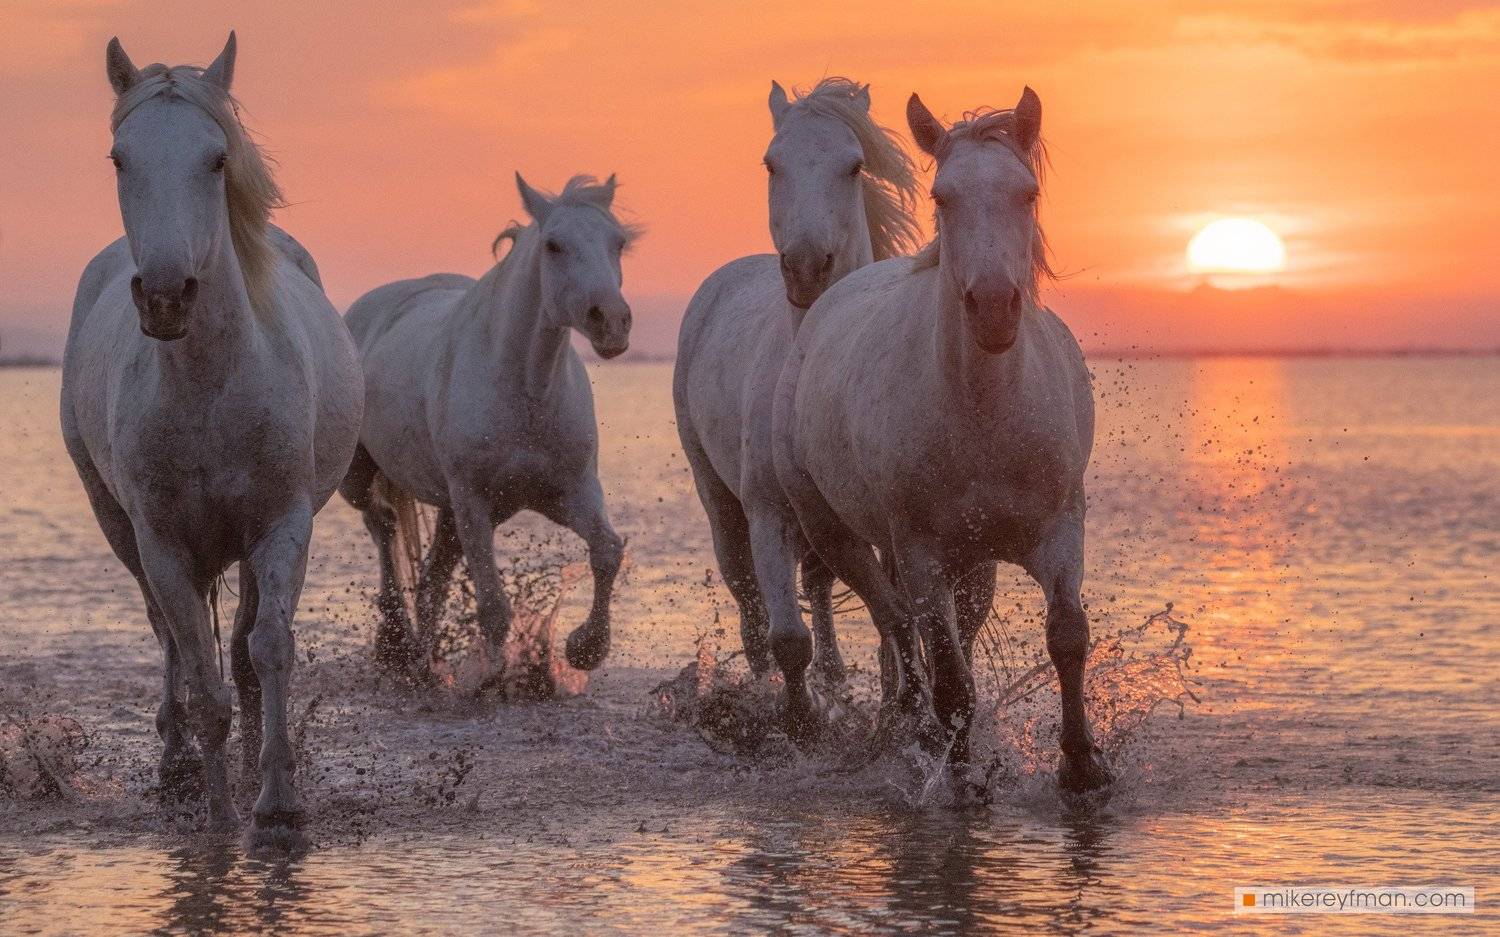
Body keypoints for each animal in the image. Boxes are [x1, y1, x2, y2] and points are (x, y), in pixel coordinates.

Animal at [61, 34, 364, 847]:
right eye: (118, 158)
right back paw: (177, 766)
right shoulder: (161, 542)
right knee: (168, 637)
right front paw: (222, 817)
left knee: (247, 646)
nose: (167, 296)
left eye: (217, 158)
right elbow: (198, 678)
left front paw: (279, 803)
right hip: (120, 527)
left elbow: (270, 648)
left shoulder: (283, 523)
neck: (210, 386)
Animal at [339, 174, 635, 685]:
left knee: (431, 576)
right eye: (554, 245)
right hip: (362, 479)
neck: (524, 392)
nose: (612, 322)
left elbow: (607, 550)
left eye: (617, 243)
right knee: (383, 522)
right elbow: (494, 607)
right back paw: (397, 642)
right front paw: (490, 679)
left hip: (450, 512)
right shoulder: (473, 500)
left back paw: (423, 663)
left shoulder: (566, 493)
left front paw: (586, 648)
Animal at [673, 78, 921, 737]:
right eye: (770, 163)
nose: (808, 267)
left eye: (854, 165)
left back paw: (834, 680)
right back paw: (764, 687)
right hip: (719, 498)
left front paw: (890, 705)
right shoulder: (767, 514)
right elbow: (788, 637)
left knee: (818, 584)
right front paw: (800, 723)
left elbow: (892, 619)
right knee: (748, 597)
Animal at [772, 88, 1113, 792]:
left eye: (1027, 193)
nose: (993, 308)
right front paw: (957, 779)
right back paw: (912, 725)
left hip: (973, 561)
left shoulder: (1060, 530)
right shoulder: (922, 553)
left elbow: (1067, 636)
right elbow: (950, 677)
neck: (983, 415)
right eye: (942, 197)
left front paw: (1082, 763)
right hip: (840, 534)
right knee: (896, 622)